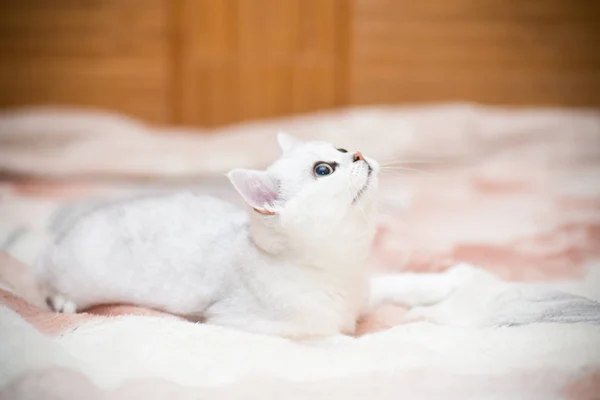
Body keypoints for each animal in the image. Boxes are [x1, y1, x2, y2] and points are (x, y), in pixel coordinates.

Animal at [36, 134, 468, 338]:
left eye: (341, 148)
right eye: (324, 169)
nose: (358, 154)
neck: (339, 266)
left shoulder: (365, 289)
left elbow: (399, 283)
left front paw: (446, 282)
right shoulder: (250, 326)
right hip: (73, 271)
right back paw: (62, 302)